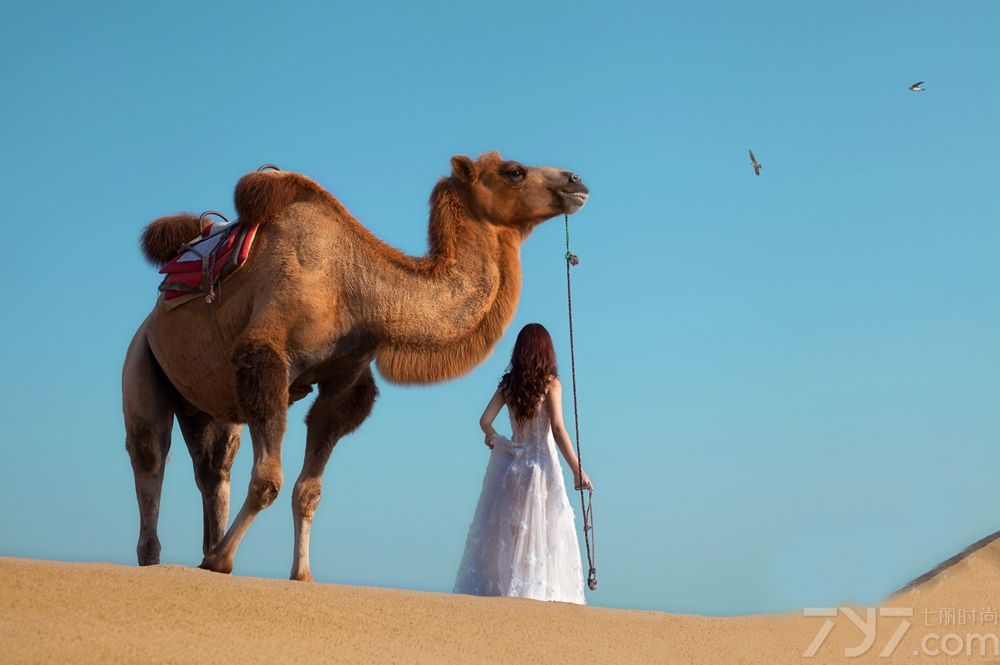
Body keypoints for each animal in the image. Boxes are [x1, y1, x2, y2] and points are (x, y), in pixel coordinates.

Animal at [119, 152, 584, 580]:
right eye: (514, 171)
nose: (576, 180)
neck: (355, 289)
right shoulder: (265, 355)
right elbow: (268, 480)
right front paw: (220, 560)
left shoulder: (343, 383)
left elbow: (308, 489)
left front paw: (300, 574)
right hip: (141, 358)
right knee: (150, 451)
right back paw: (162, 557)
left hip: (208, 402)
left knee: (214, 467)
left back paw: (206, 546)